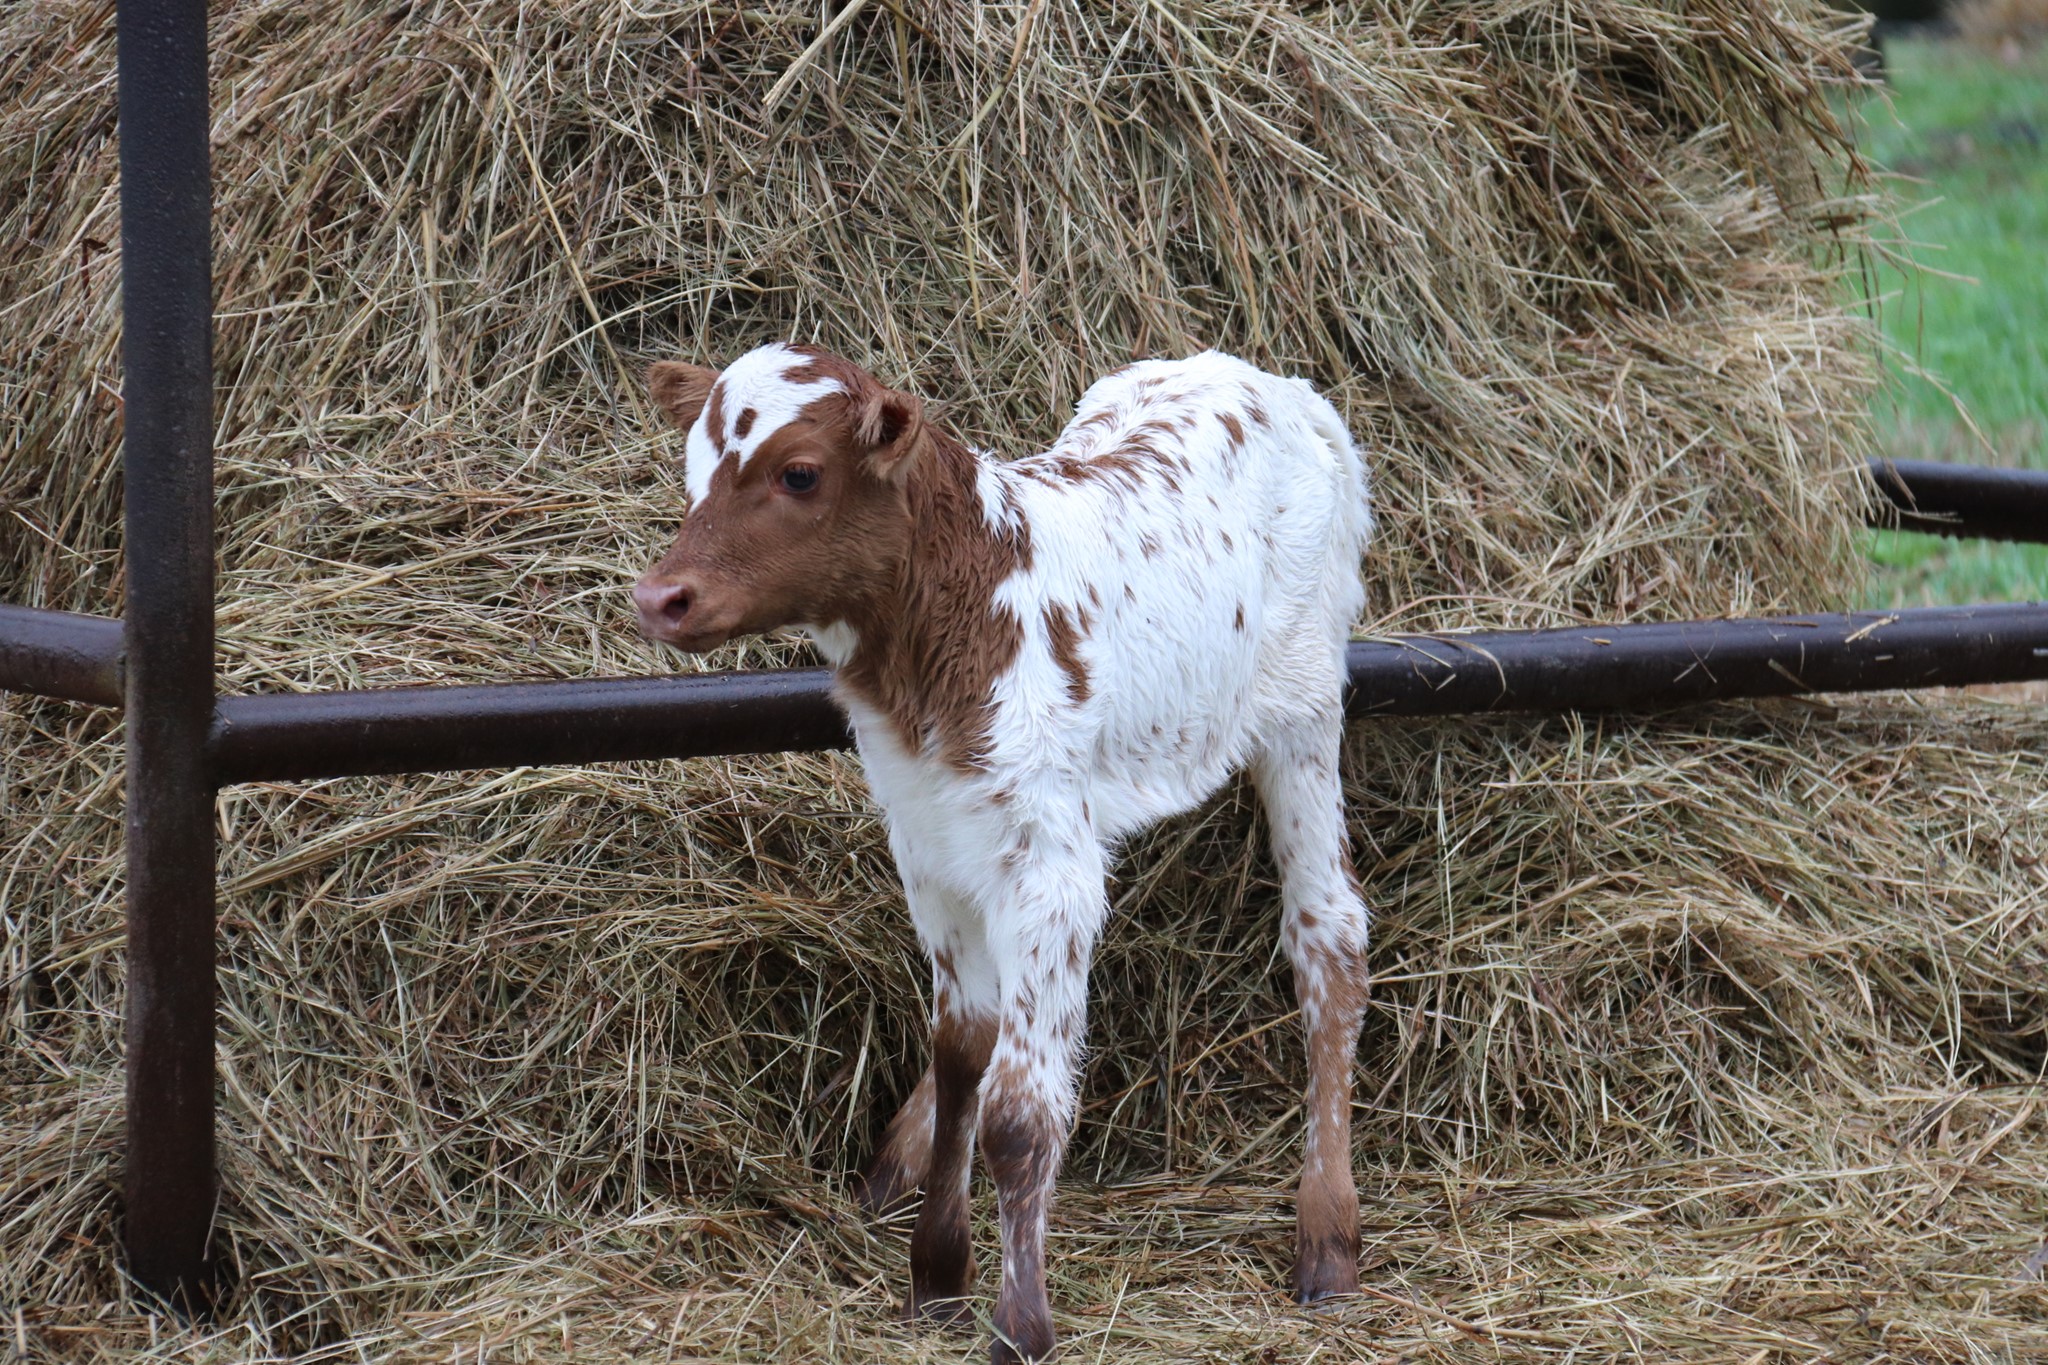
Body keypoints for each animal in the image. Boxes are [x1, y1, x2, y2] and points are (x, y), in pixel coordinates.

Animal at [634, 342, 1374, 1363]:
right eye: (693, 472)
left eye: (800, 473)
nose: (661, 597)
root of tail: (1275, 383)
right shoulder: (931, 846)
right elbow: (962, 1054)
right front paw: (937, 1276)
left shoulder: (1044, 866)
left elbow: (1021, 1113)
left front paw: (1020, 1325)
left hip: (1303, 705)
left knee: (1328, 933)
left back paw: (1328, 1236)